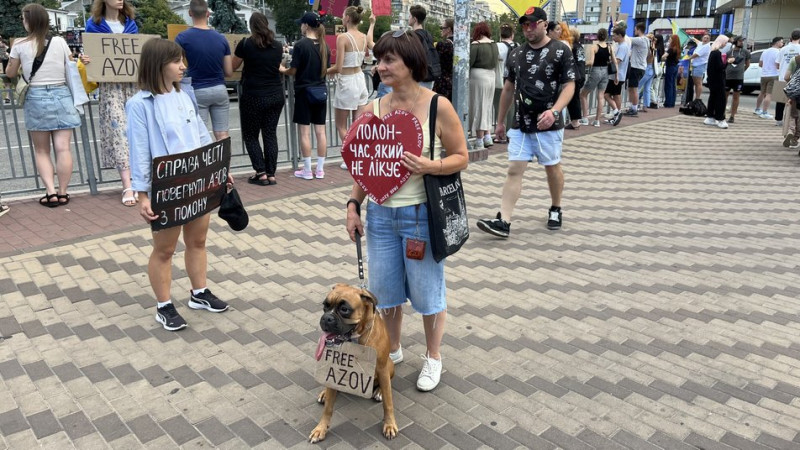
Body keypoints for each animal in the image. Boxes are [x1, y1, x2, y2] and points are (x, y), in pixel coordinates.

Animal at [312, 284, 400, 442]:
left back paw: (379, 392)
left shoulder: (382, 368)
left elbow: (388, 403)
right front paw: (320, 428)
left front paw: (389, 424)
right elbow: (328, 408)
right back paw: (325, 393)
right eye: (325, 306)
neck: (354, 338)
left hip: (388, 365)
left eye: (344, 309)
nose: (326, 318)